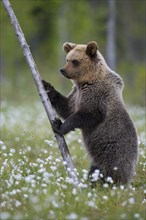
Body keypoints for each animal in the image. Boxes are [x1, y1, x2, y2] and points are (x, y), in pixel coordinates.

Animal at [42, 40, 138, 184]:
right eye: (67, 59)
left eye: (75, 61)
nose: (62, 70)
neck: (88, 80)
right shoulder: (77, 94)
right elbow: (67, 107)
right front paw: (47, 87)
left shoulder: (97, 96)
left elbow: (87, 115)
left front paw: (59, 125)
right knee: (95, 170)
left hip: (113, 154)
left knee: (108, 172)